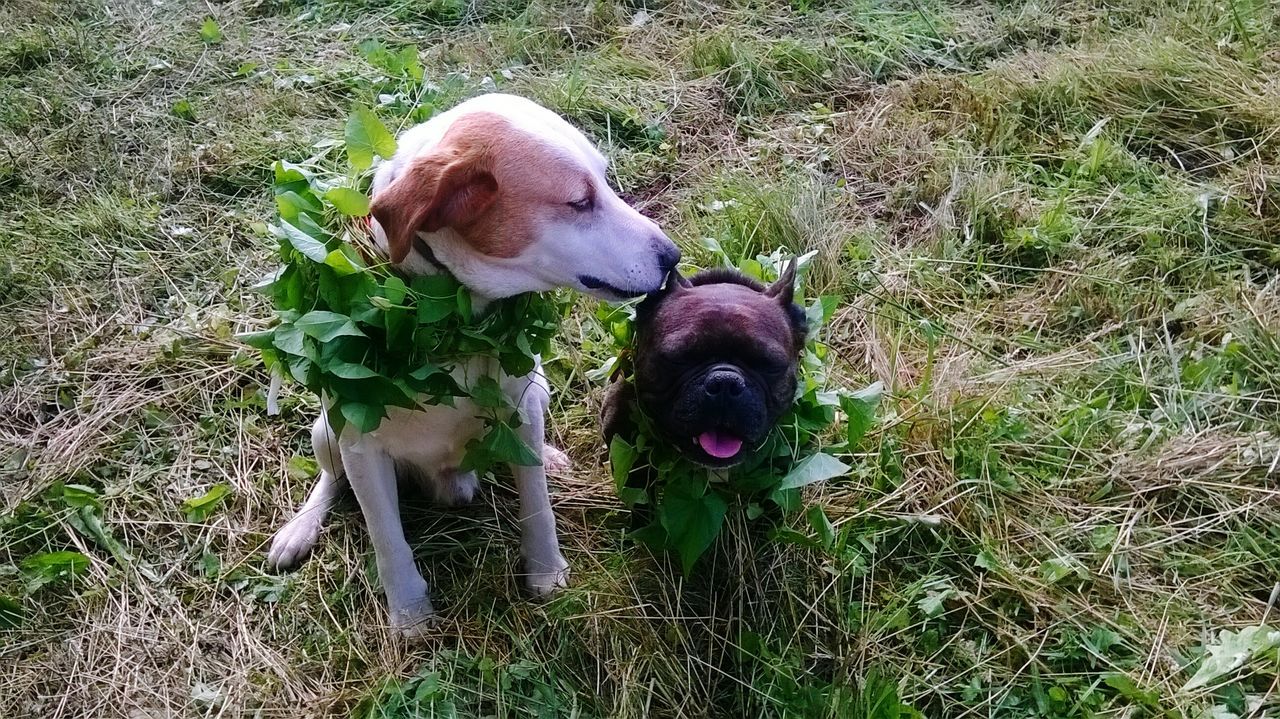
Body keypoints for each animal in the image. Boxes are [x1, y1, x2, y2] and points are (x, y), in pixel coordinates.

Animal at [263, 90, 675, 632]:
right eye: (579, 202)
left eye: (606, 182)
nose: (673, 257)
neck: (449, 329)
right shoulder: (360, 444)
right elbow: (387, 539)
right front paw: (409, 612)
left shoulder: (518, 407)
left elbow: (536, 503)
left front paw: (545, 572)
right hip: (326, 432)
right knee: (331, 481)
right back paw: (301, 528)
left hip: (537, 390)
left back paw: (549, 456)